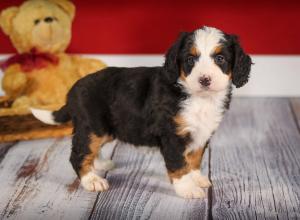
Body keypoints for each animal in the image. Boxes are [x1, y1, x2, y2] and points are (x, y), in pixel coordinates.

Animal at [31, 26, 251, 199]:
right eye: (190, 59)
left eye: (220, 58)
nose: (204, 79)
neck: (199, 98)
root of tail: (73, 89)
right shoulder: (172, 135)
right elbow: (179, 164)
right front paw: (187, 188)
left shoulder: (202, 133)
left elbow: (195, 158)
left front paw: (197, 178)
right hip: (92, 126)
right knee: (78, 154)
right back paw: (92, 180)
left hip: (104, 129)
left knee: (91, 150)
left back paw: (100, 164)